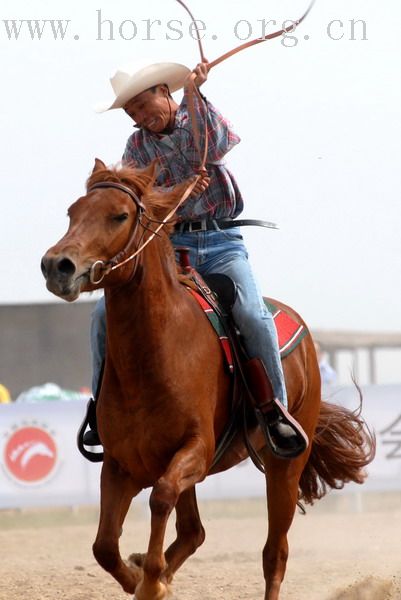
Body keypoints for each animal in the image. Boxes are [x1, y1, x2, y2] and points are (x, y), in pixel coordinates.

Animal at [41, 159, 376, 600]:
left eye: (120, 215)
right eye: (72, 212)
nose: (56, 266)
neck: (155, 356)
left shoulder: (196, 451)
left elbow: (161, 498)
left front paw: (152, 581)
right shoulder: (119, 464)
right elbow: (105, 546)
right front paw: (143, 577)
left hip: (285, 467)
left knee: (274, 552)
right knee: (193, 532)